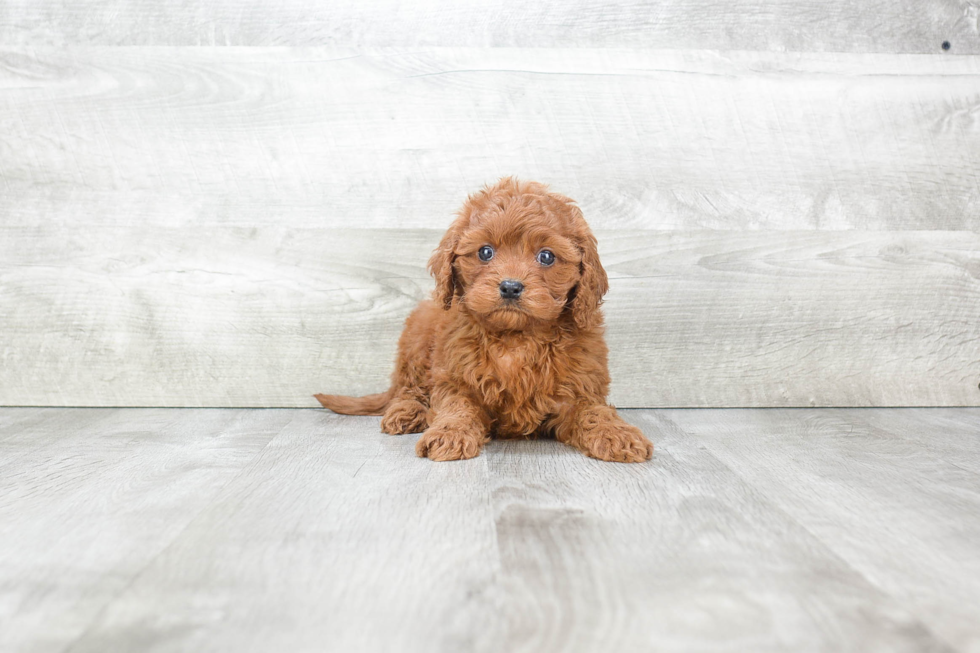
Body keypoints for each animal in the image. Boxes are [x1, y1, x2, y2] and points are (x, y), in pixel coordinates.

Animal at [314, 177, 652, 464]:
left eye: (546, 256)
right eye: (485, 252)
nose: (510, 286)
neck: (516, 337)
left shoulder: (580, 389)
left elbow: (595, 412)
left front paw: (617, 434)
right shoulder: (454, 378)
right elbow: (457, 407)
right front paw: (449, 434)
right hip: (417, 336)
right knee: (408, 389)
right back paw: (407, 412)